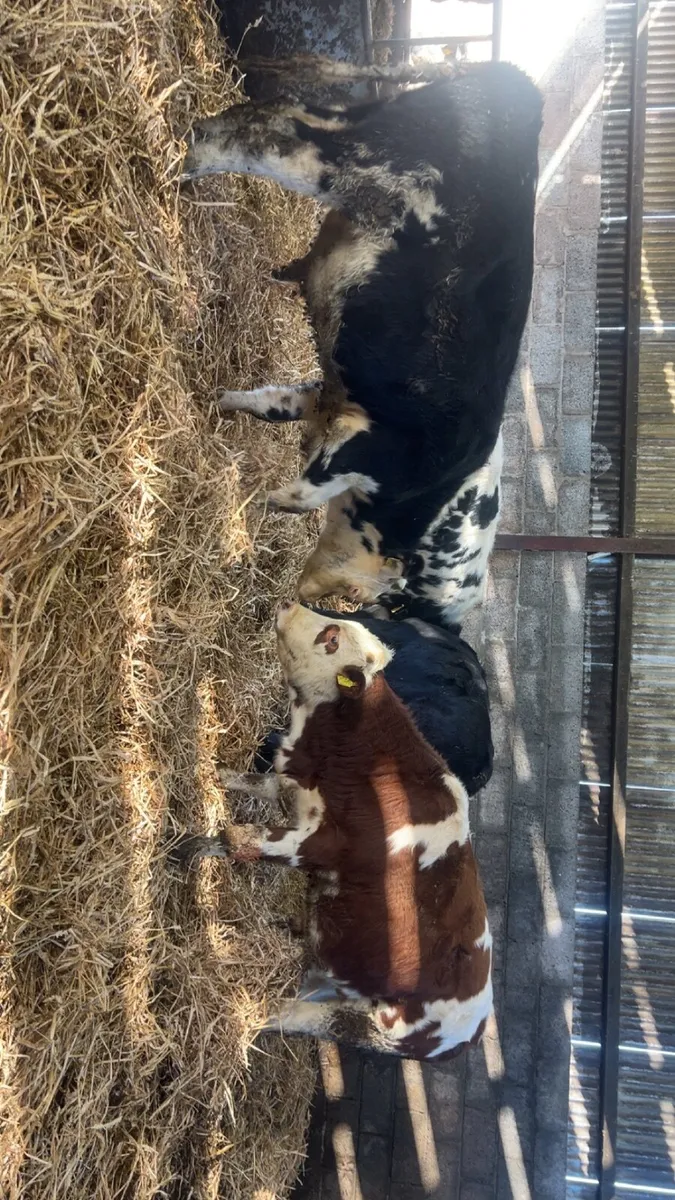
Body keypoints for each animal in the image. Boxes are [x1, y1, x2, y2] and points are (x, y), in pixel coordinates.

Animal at [173, 603, 493, 1060]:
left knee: (294, 1016)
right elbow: (246, 783)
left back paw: (247, 1012)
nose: (288, 605)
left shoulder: (317, 845)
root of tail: (472, 1029)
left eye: (332, 638)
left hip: (374, 1025)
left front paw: (185, 849)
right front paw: (208, 778)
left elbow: (242, 838)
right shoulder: (294, 791)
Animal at [183, 60, 540, 626]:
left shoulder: (329, 400)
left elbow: (272, 405)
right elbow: (301, 495)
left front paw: (216, 402)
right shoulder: (372, 446)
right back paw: (187, 157)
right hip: (373, 163)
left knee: (285, 113)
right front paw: (259, 503)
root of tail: (517, 84)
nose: (307, 595)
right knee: (278, 133)